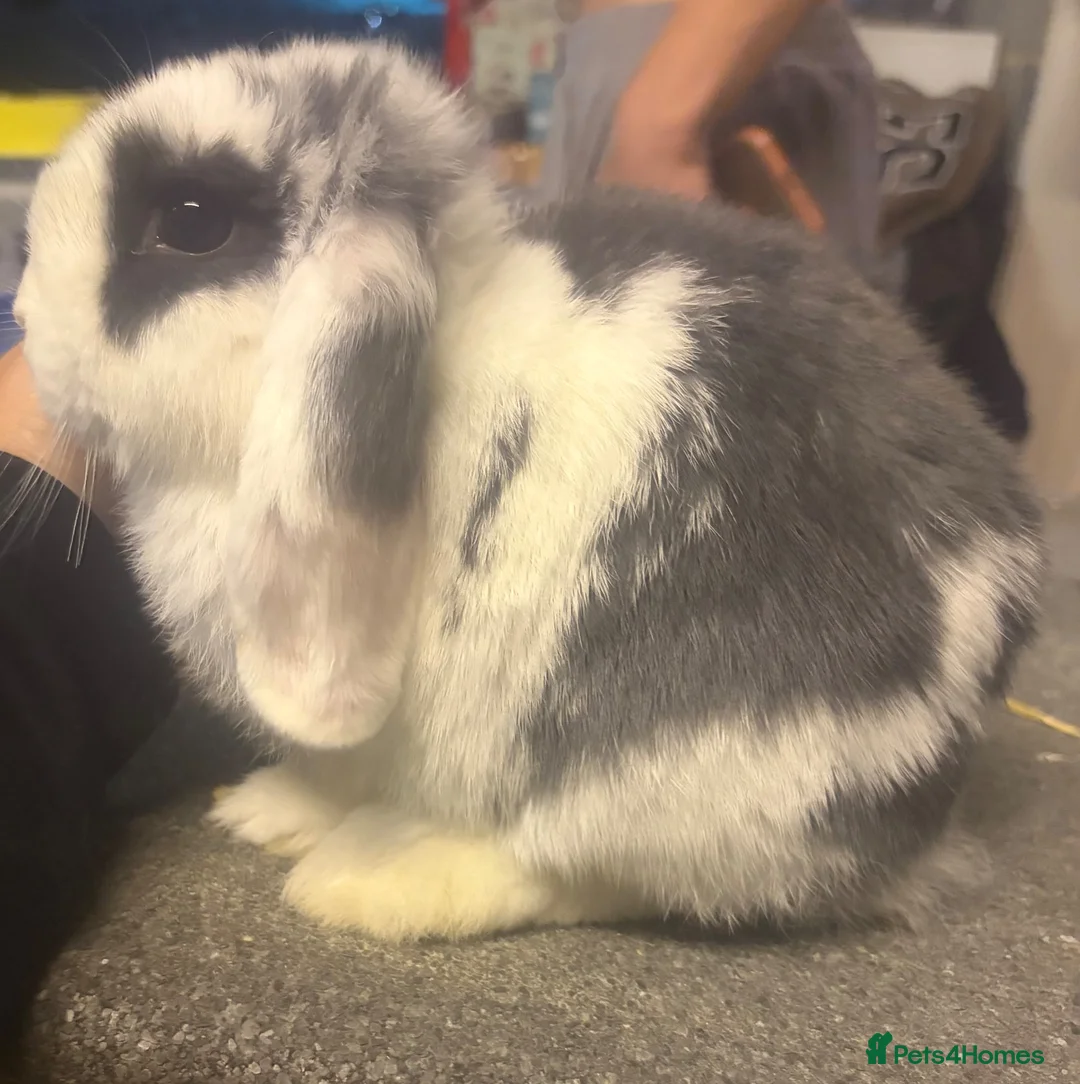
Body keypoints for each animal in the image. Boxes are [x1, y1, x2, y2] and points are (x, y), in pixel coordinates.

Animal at [15, 37, 1045, 943]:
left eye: (190, 220)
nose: (21, 311)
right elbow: (331, 769)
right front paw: (263, 808)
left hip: (684, 773)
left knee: (585, 869)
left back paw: (371, 879)